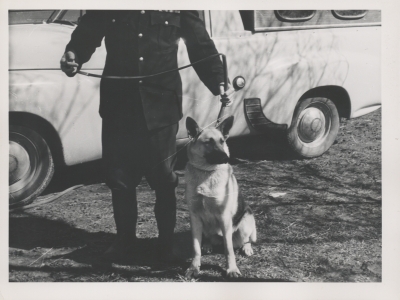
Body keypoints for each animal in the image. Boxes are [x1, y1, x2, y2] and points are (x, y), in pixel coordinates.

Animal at [184, 115, 256, 278]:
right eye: (208, 142)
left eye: (222, 141)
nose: (225, 157)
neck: (206, 172)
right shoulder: (195, 216)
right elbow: (195, 247)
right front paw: (194, 267)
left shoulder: (224, 217)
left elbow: (228, 249)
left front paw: (232, 269)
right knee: (207, 238)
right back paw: (208, 244)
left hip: (244, 224)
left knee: (245, 240)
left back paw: (247, 248)